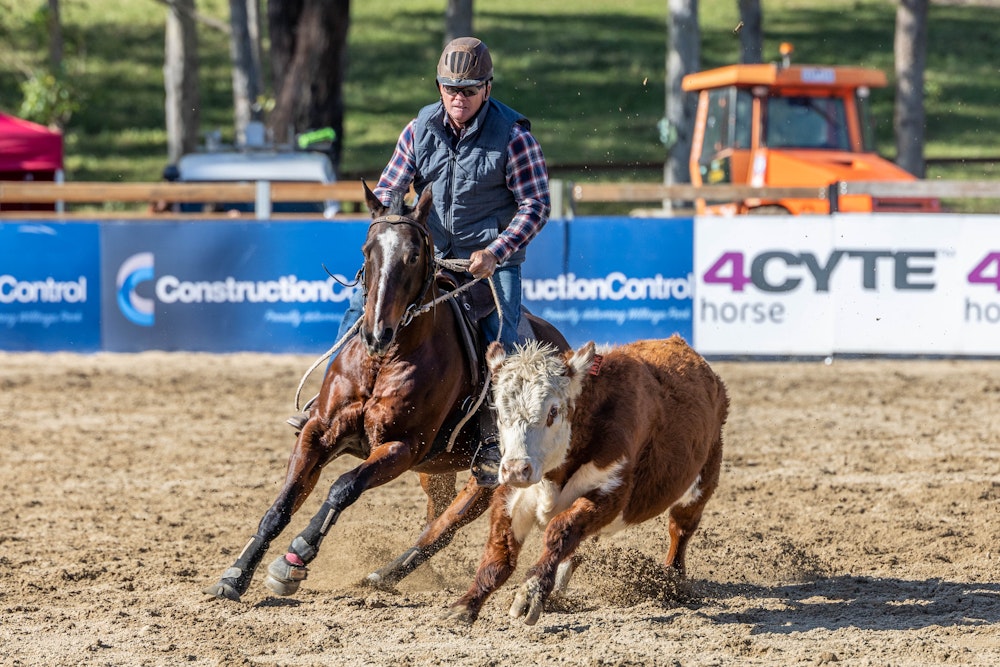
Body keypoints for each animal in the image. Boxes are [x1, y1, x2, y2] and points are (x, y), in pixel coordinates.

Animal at [203, 184, 568, 604]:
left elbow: (343, 487)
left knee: (448, 522)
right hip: (435, 470)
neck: (384, 361)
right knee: (437, 515)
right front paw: (235, 576)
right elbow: (280, 506)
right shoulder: (319, 432)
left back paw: (388, 572)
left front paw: (294, 557)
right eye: (367, 250)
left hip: (496, 474)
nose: (377, 332)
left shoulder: (401, 447)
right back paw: (393, 573)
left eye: (413, 255)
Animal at [452, 340, 728, 628]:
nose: (517, 469)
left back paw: (672, 579)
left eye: (553, 411)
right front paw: (466, 605)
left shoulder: (610, 493)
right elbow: (500, 552)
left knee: (680, 529)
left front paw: (530, 593)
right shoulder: (512, 495)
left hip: (703, 480)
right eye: (498, 411)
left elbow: (560, 530)